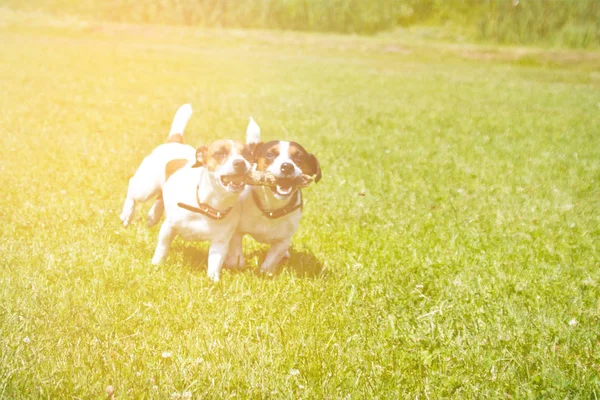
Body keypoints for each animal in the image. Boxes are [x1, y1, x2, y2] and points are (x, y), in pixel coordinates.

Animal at [119, 106, 251, 282]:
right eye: (220, 153)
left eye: (247, 155)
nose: (241, 163)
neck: (207, 205)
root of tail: (174, 141)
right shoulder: (168, 227)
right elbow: (162, 248)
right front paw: (156, 265)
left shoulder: (220, 242)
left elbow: (215, 263)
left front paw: (213, 280)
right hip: (145, 188)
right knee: (132, 188)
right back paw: (127, 214)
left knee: (160, 196)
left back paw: (153, 215)